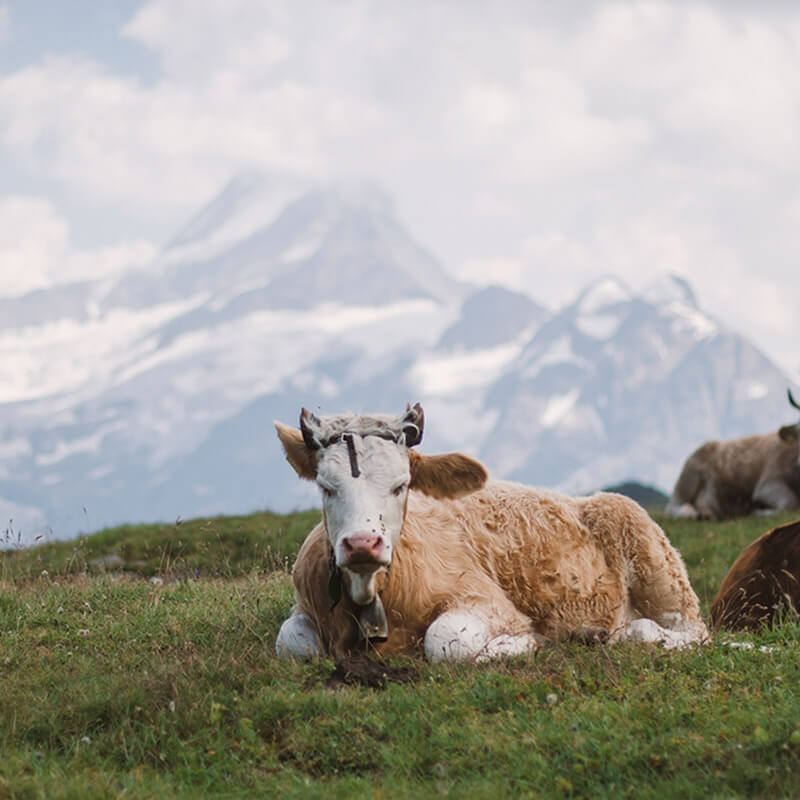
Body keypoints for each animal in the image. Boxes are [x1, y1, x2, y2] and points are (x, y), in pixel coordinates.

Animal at [274, 404, 707, 662]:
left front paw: (529, 642)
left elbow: (445, 640)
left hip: (662, 576)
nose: (363, 544)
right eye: (326, 487)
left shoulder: (487, 602)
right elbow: (292, 642)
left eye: (402, 485)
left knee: (689, 632)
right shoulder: (304, 606)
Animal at [665, 389, 800, 521]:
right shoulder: (767, 482)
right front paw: (758, 512)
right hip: (688, 480)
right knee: (673, 507)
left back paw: (707, 513)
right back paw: (691, 514)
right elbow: (790, 503)